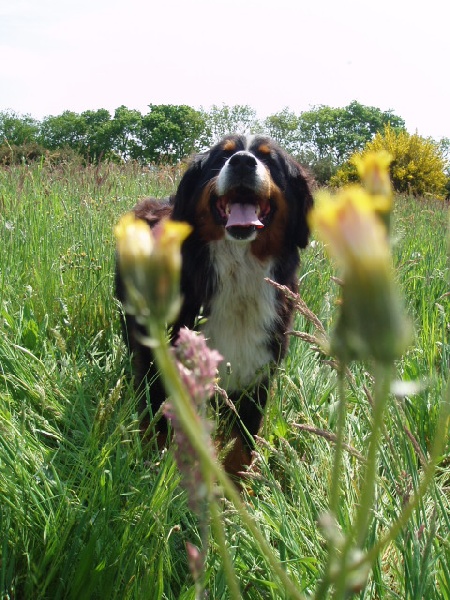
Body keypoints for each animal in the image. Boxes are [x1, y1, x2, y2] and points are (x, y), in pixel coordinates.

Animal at [116, 134, 314, 479]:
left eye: (269, 159)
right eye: (222, 156)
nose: (243, 162)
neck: (237, 271)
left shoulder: (256, 372)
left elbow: (241, 444)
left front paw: (238, 486)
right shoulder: (160, 364)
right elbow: (159, 423)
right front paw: (157, 466)